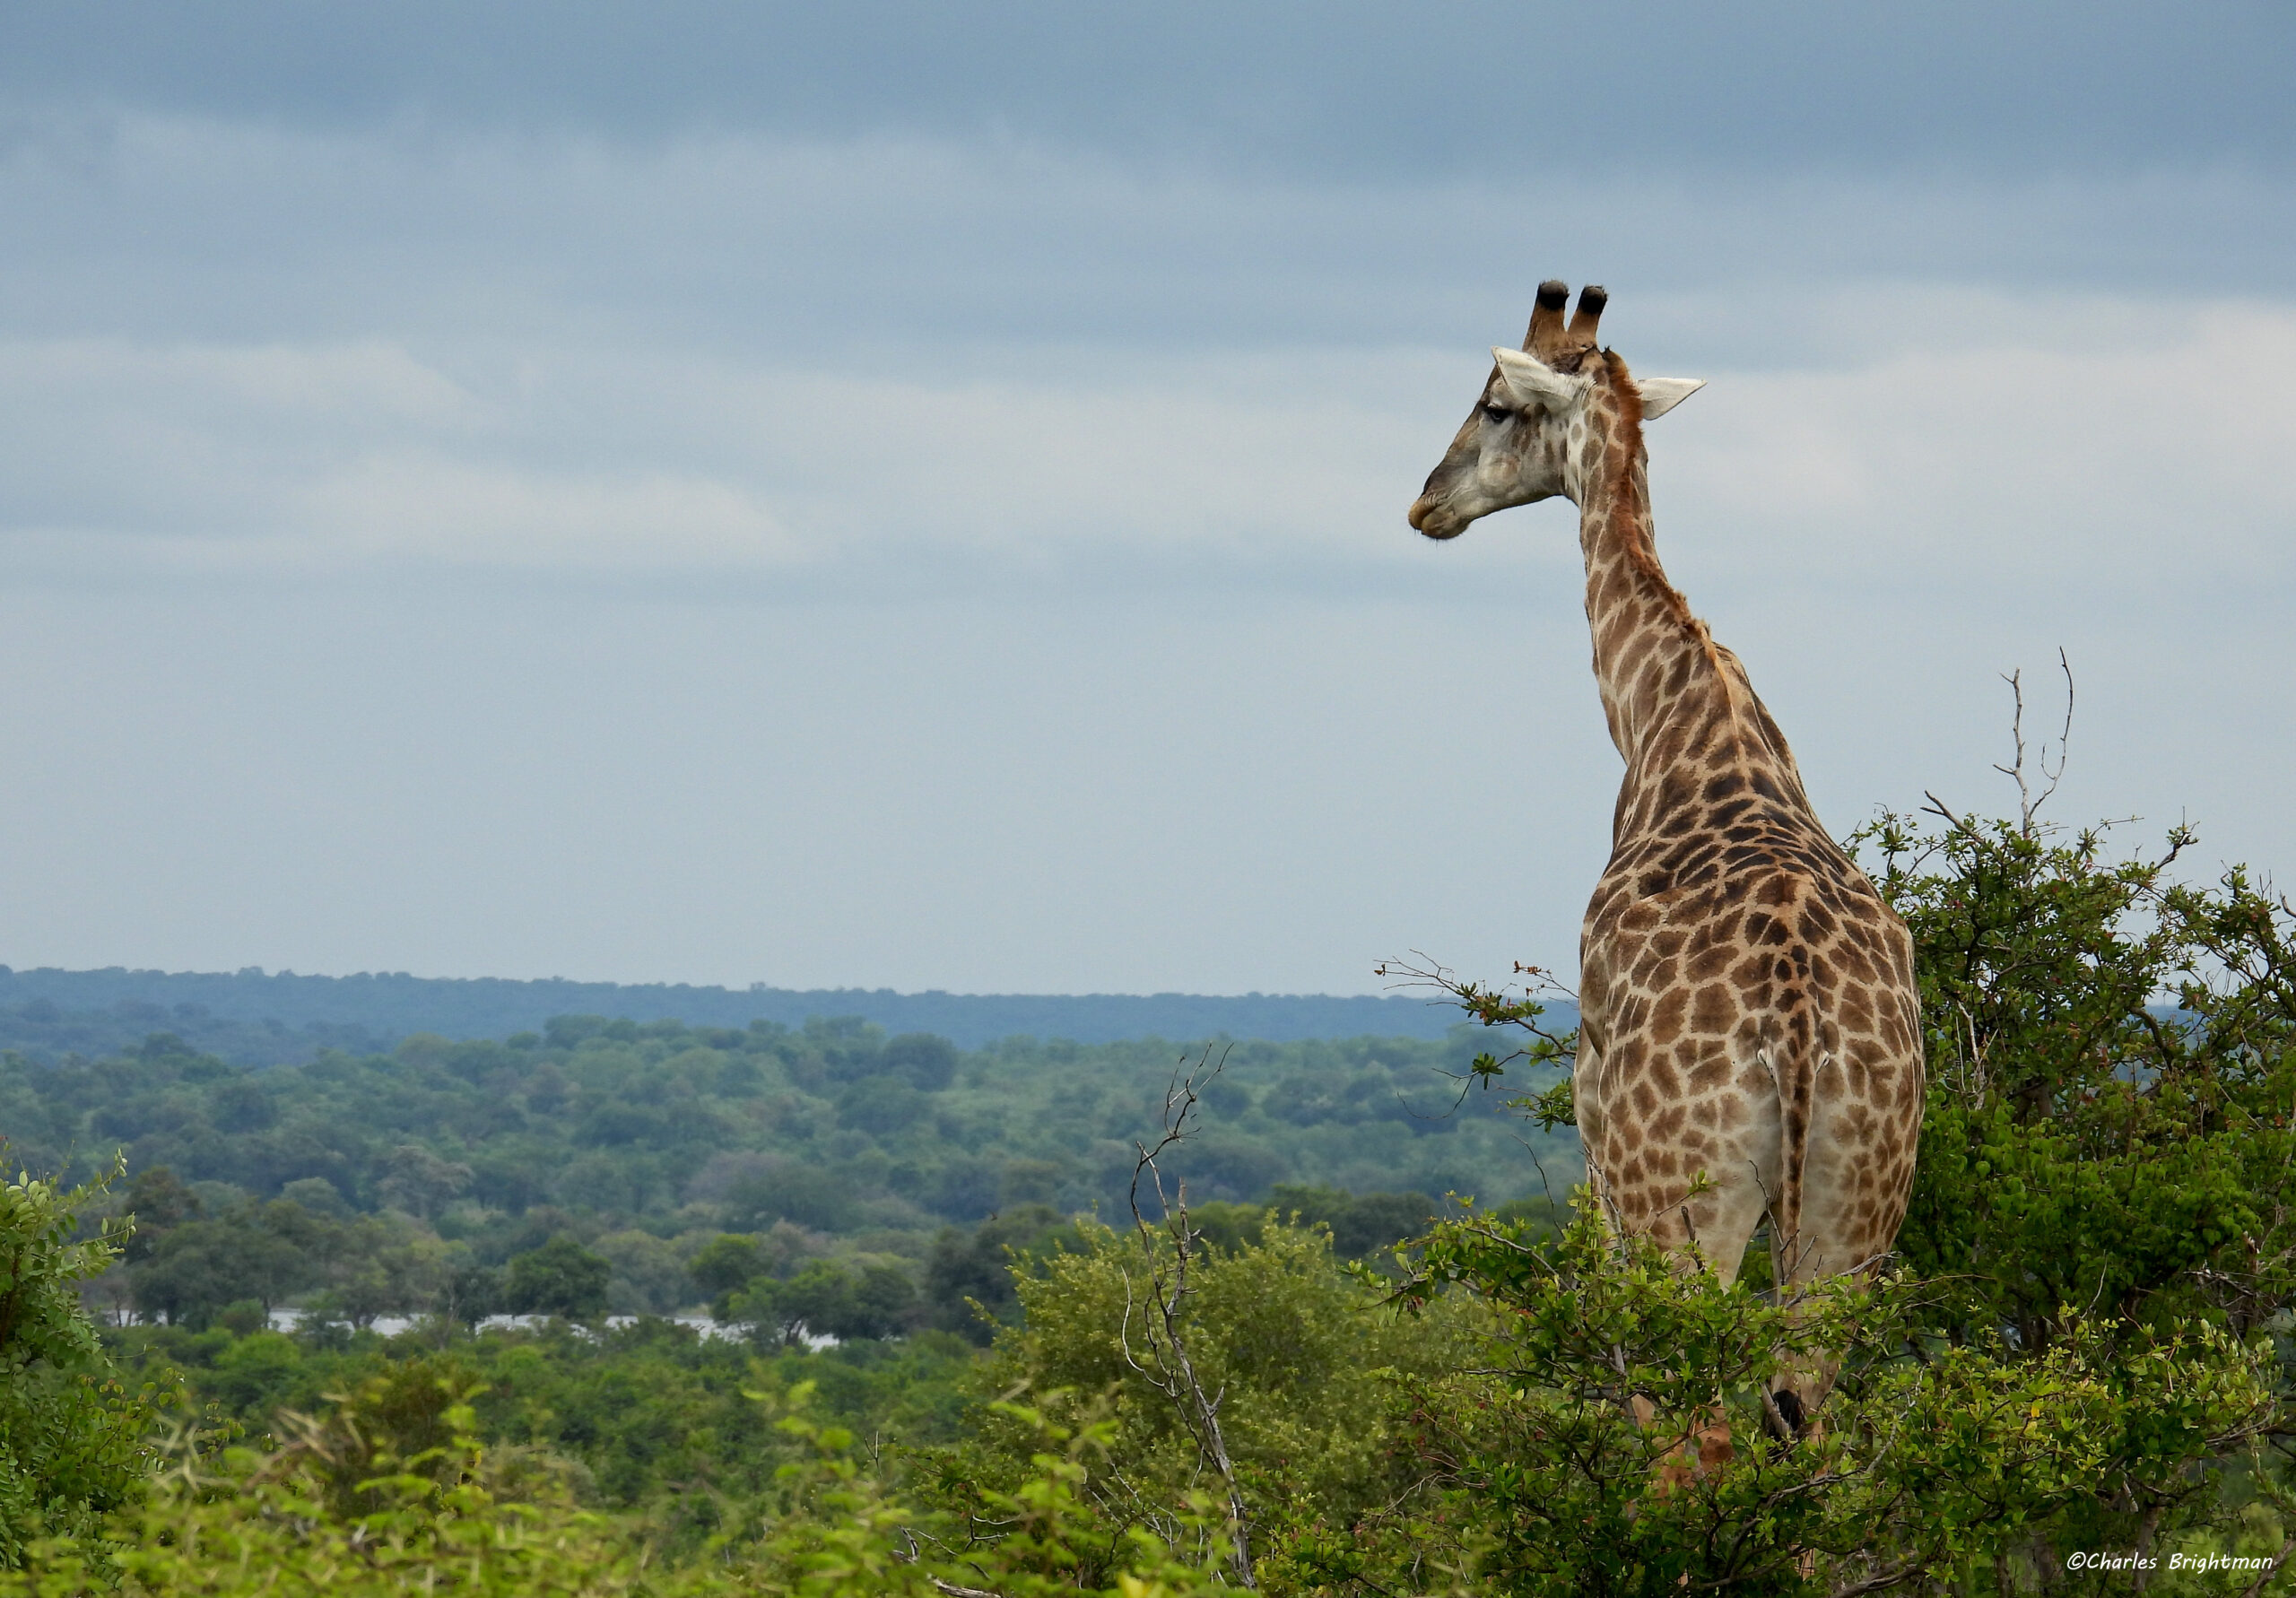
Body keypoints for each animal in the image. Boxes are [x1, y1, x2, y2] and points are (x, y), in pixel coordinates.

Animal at [1407, 282, 1925, 1432]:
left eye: (1494, 403)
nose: (1424, 504)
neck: (1665, 714)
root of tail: (1799, 1029)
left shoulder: (1594, 1125)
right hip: (1857, 1216)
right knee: (1802, 1421)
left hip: (1678, 1208)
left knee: (1694, 1430)